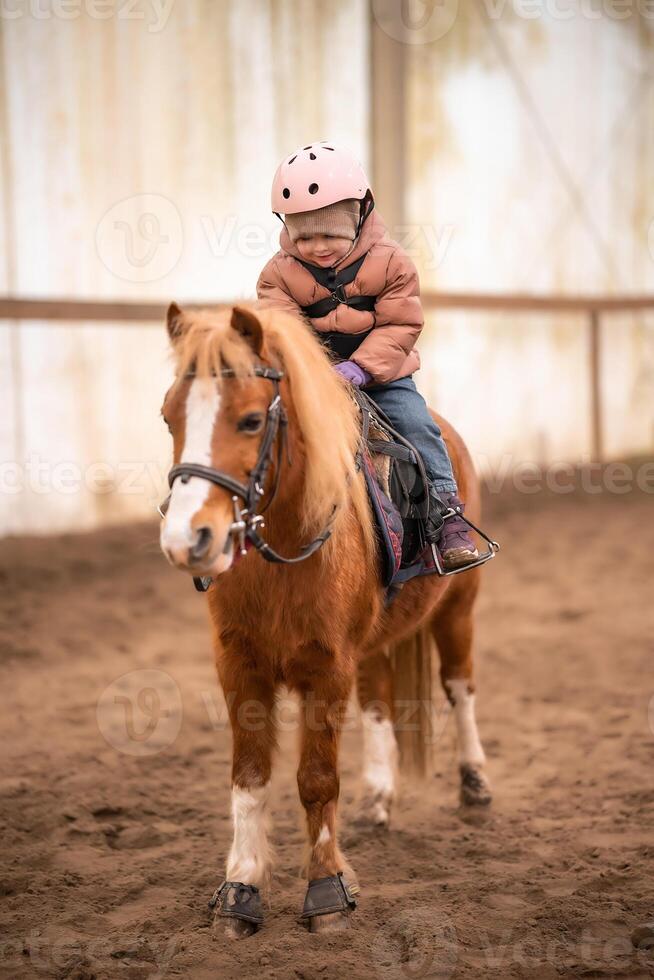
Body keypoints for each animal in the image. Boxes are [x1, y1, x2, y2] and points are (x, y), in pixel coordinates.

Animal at [159, 302, 492, 936]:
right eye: (169, 418)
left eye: (250, 421)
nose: (187, 540)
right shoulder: (239, 664)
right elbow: (249, 778)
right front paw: (239, 891)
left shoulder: (327, 666)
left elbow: (316, 780)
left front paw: (328, 891)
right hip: (375, 645)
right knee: (381, 701)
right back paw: (381, 798)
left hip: (459, 607)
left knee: (460, 687)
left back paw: (476, 784)